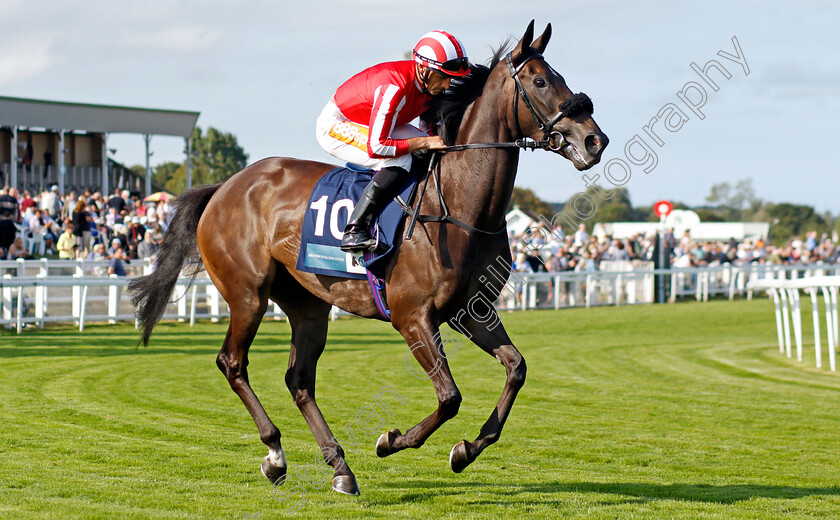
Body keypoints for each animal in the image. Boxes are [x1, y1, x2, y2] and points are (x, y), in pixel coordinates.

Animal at [128, 21, 608, 496]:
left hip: (307, 303)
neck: (457, 203)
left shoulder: (472, 311)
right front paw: (391, 440)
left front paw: (466, 450)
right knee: (233, 363)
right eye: (541, 81)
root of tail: (224, 187)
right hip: (248, 294)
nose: (595, 140)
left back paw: (339, 467)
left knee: (299, 380)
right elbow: (449, 396)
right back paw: (275, 453)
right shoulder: (412, 316)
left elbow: (516, 369)